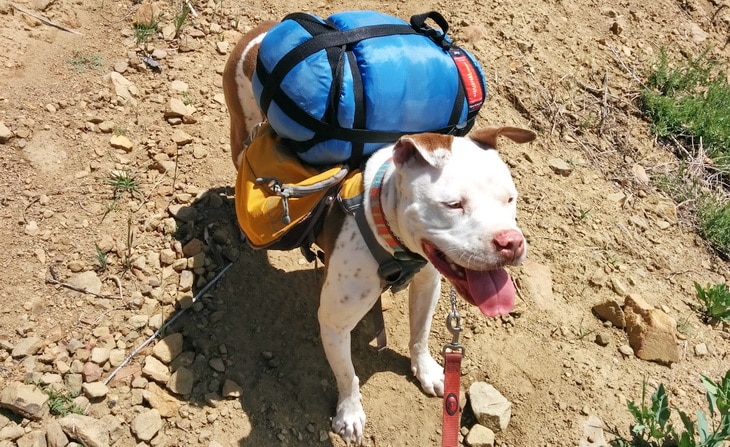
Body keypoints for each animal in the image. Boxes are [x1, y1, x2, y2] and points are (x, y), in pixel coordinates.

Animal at [222, 20, 536, 444]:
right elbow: (348, 375)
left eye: (510, 199)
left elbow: (420, 333)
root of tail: (264, 30)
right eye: (453, 205)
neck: (385, 229)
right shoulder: (334, 320)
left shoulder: (428, 283)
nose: (510, 243)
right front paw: (349, 414)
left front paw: (429, 371)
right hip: (242, 130)